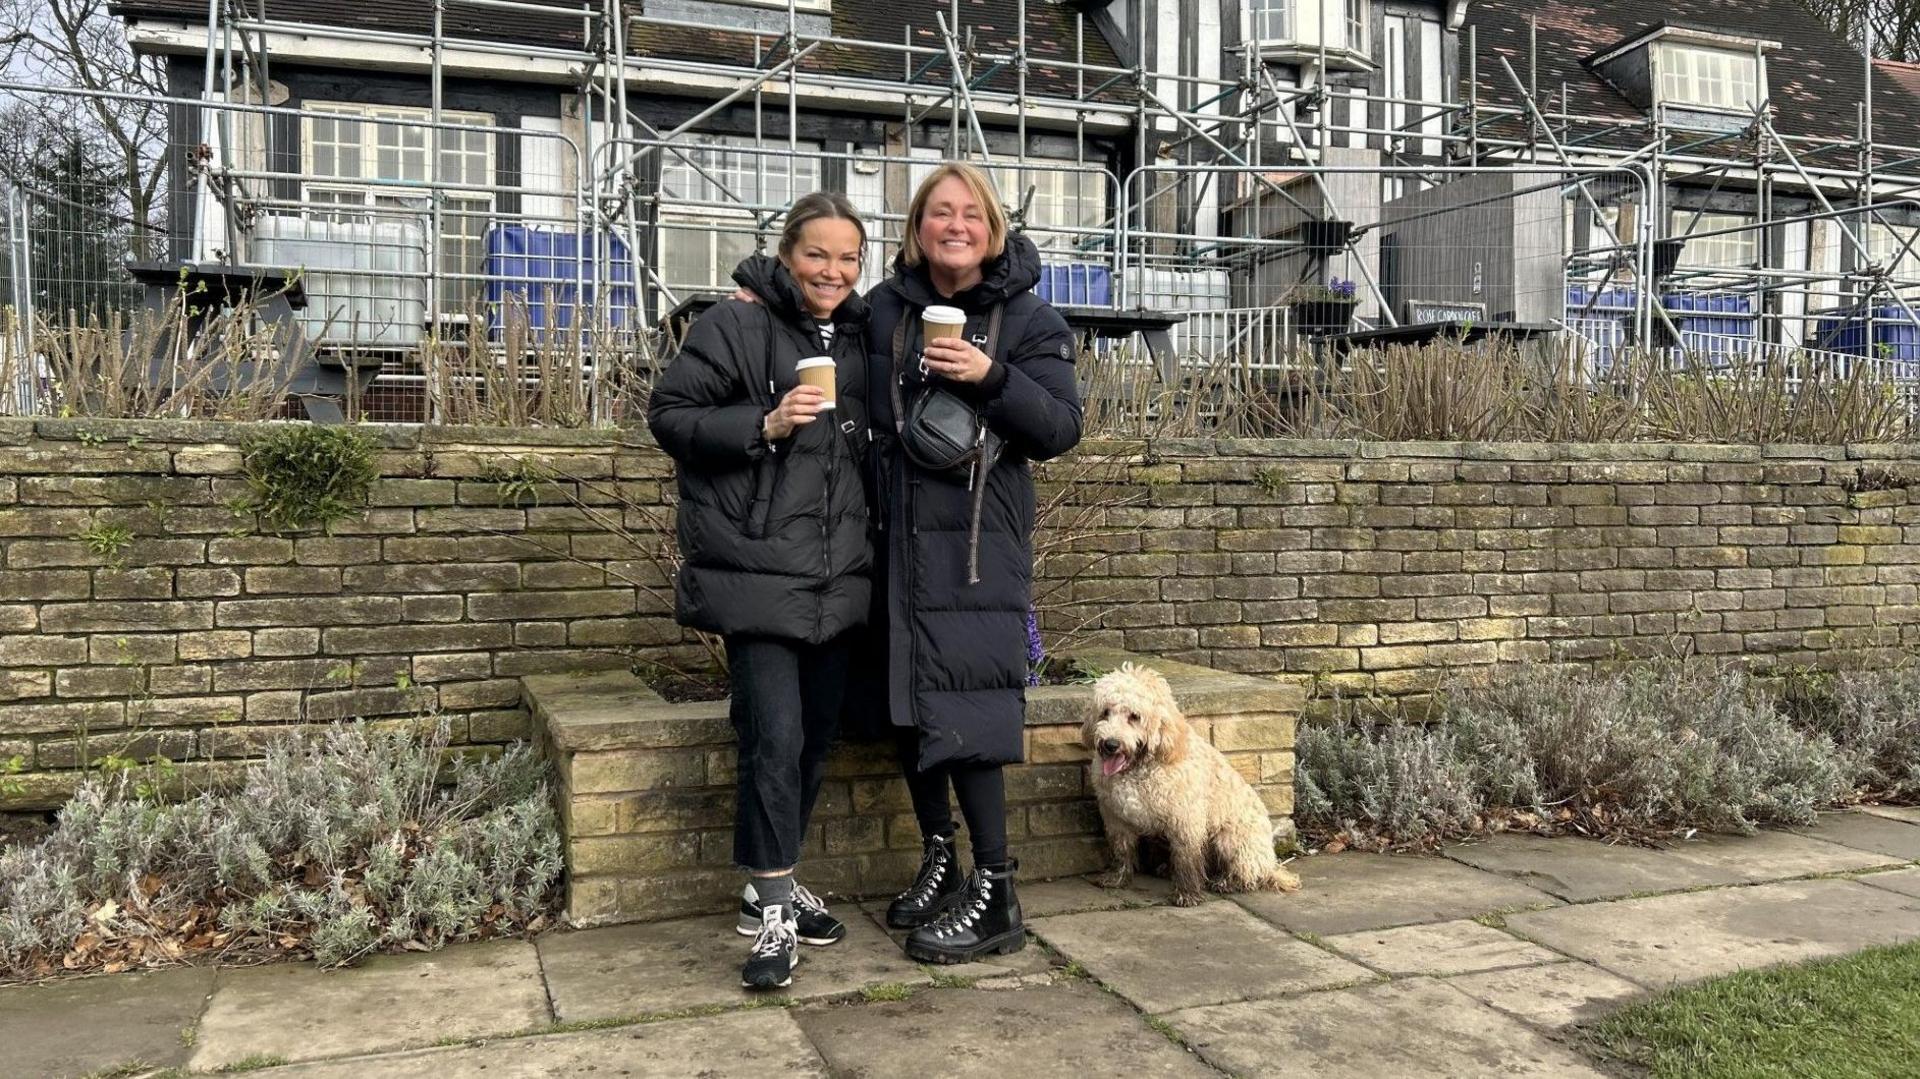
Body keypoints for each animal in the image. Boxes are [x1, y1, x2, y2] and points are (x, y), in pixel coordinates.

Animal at [1082, 660, 1305, 902]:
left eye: (1134, 716)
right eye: (1105, 712)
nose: (1110, 744)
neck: (1141, 767)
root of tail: (1270, 864)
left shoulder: (1185, 819)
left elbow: (1186, 857)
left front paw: (1187, 894)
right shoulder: (1115, 817)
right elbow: (1121, 850)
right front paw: (1117, 878)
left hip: (1230, 839)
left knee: (1248, 874)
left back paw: (1227, 882)